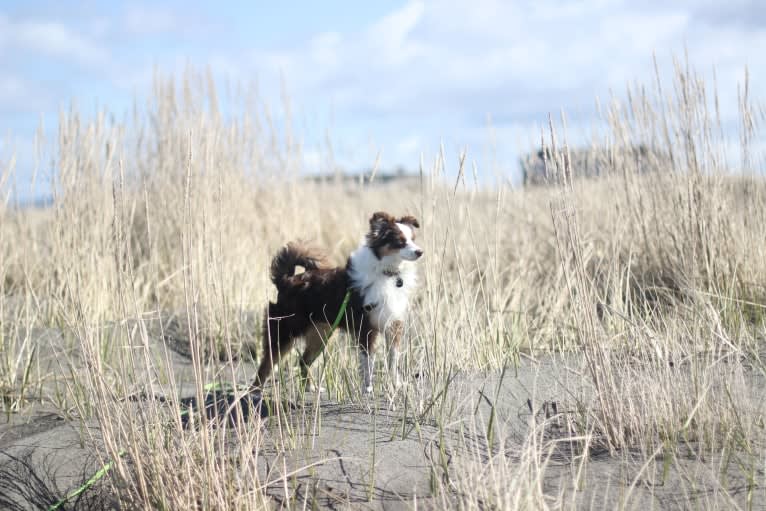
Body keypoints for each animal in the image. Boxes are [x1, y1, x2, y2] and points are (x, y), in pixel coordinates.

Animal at [255, 210, 426, 394]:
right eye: (400, 242)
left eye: (413, 239)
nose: (420, 252)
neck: (389, 274)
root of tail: (287, 280)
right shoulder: (366, 327)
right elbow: (368, 361)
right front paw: (368, 388)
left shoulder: (393, 324)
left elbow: (393, 359)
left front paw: (396, 385)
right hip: (285, 328)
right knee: (267, 363)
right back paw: (255, 392)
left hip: (321, 333)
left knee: (304, 360)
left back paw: (311, 387)